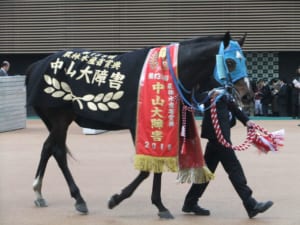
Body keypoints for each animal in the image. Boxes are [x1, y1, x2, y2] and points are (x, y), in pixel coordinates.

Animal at [25, 31, 252, 218]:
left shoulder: (159, 124)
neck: (169, 72)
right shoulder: (140, 125)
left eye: (244, 60)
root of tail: (37, 65)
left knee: (49, 148)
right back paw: (76, 198)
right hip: (60, 117)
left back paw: (40, 192)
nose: (247, 95)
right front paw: (116, 199)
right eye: (230, 61)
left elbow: (156, 164)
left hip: (60, 120)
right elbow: (145, 170)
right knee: (57, 151)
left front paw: (160, 206)